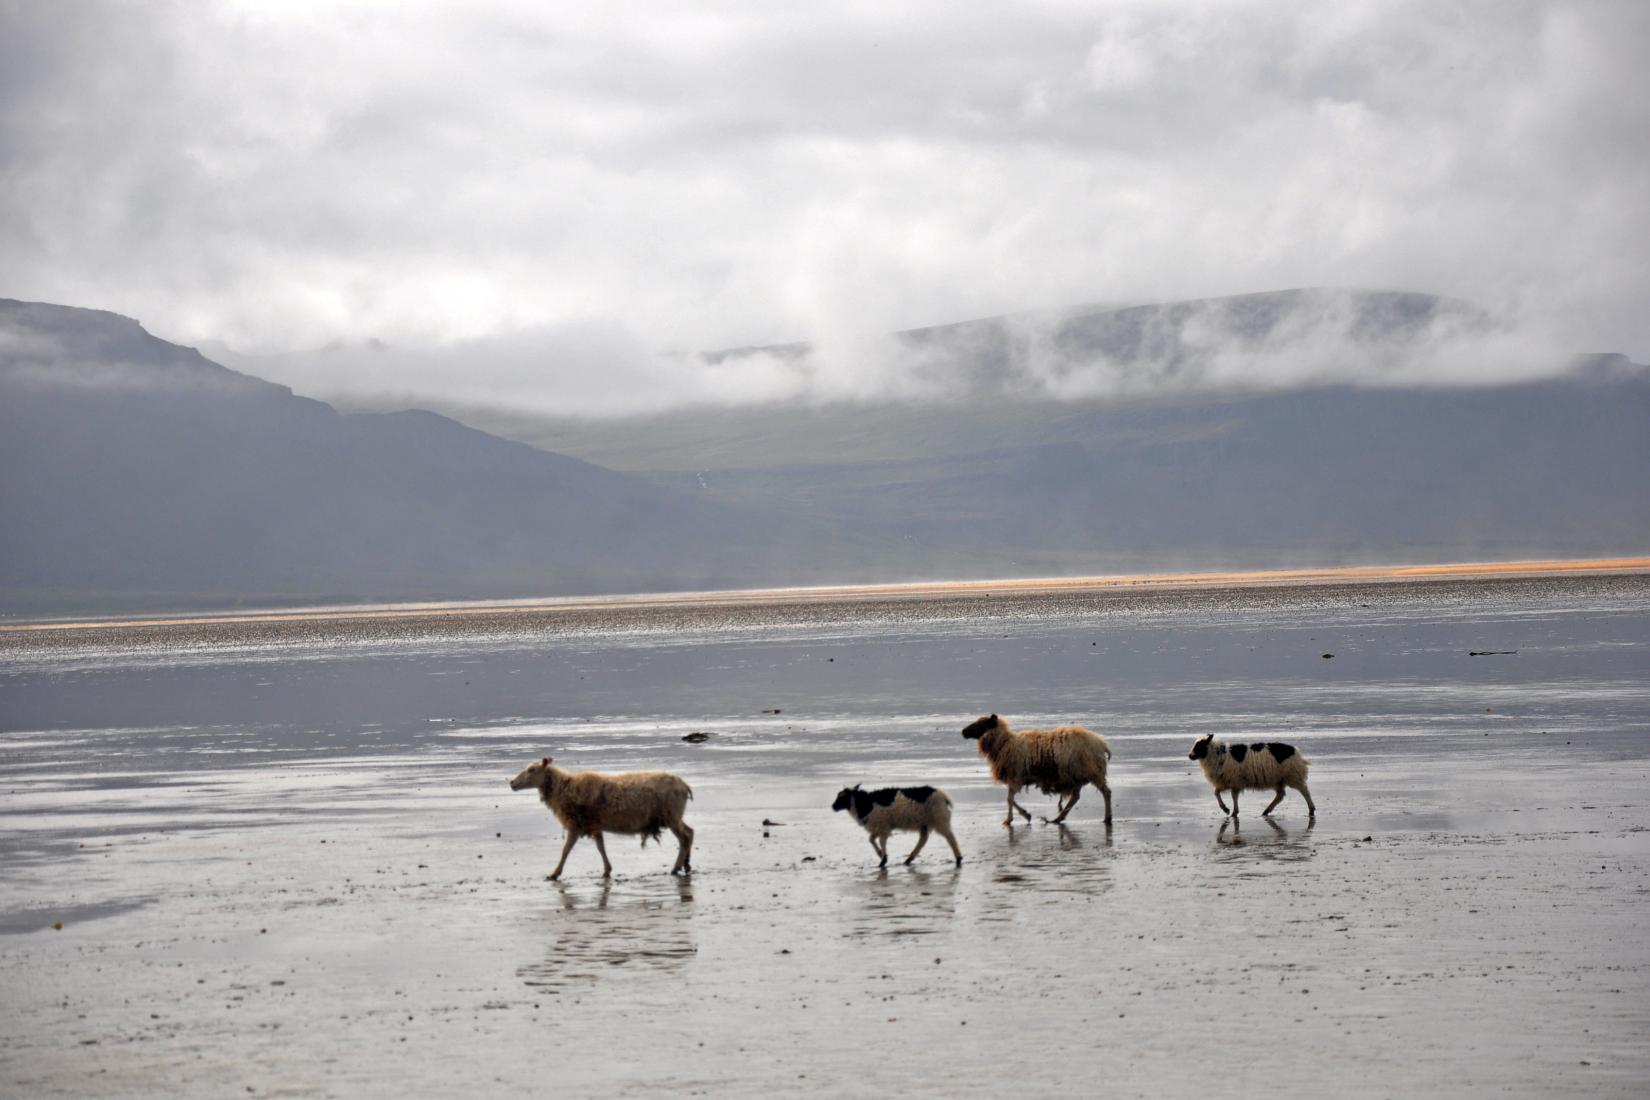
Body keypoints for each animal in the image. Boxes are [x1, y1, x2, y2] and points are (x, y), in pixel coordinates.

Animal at [504, 758, 693, 877]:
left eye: (532, 770)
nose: (512, 783)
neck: (562, 789)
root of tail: (684, 785)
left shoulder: (575, 824)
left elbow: (565, 850)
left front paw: (554, 874)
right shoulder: (594, 825)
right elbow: (601, 847)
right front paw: (607, 870)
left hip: (671, 815)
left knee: (685, 837)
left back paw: (677, 867)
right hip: (674, 816)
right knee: (690, 833)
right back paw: (686, 864)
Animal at [831, 788, 963, 864]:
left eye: (843, 797)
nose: (833, 807)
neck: (865, 804)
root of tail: (943, 795)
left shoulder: (883, 826)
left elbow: (881, 841)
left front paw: (883, 860)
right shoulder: (879, 827)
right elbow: (871, 839)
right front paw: (881, 855)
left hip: (939, 818)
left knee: (950, 837)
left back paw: (958, 858)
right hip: (924, 822)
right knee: (923, 839)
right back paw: (909, 859)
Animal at [963, 715, 1115, 824]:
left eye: (982, 724)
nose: (963, 732)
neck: (1005, 744)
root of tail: (1102, 744)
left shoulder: (1015, 776)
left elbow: (1009, 799)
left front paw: (1013, 818)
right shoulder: (1016, 778)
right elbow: (1010, 799)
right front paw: (1024, 815)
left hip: (1092, 772)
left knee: (1106, 793)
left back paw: (1107, 818)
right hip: (1077, 775)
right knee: (1075, 797)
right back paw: (1058, 818)